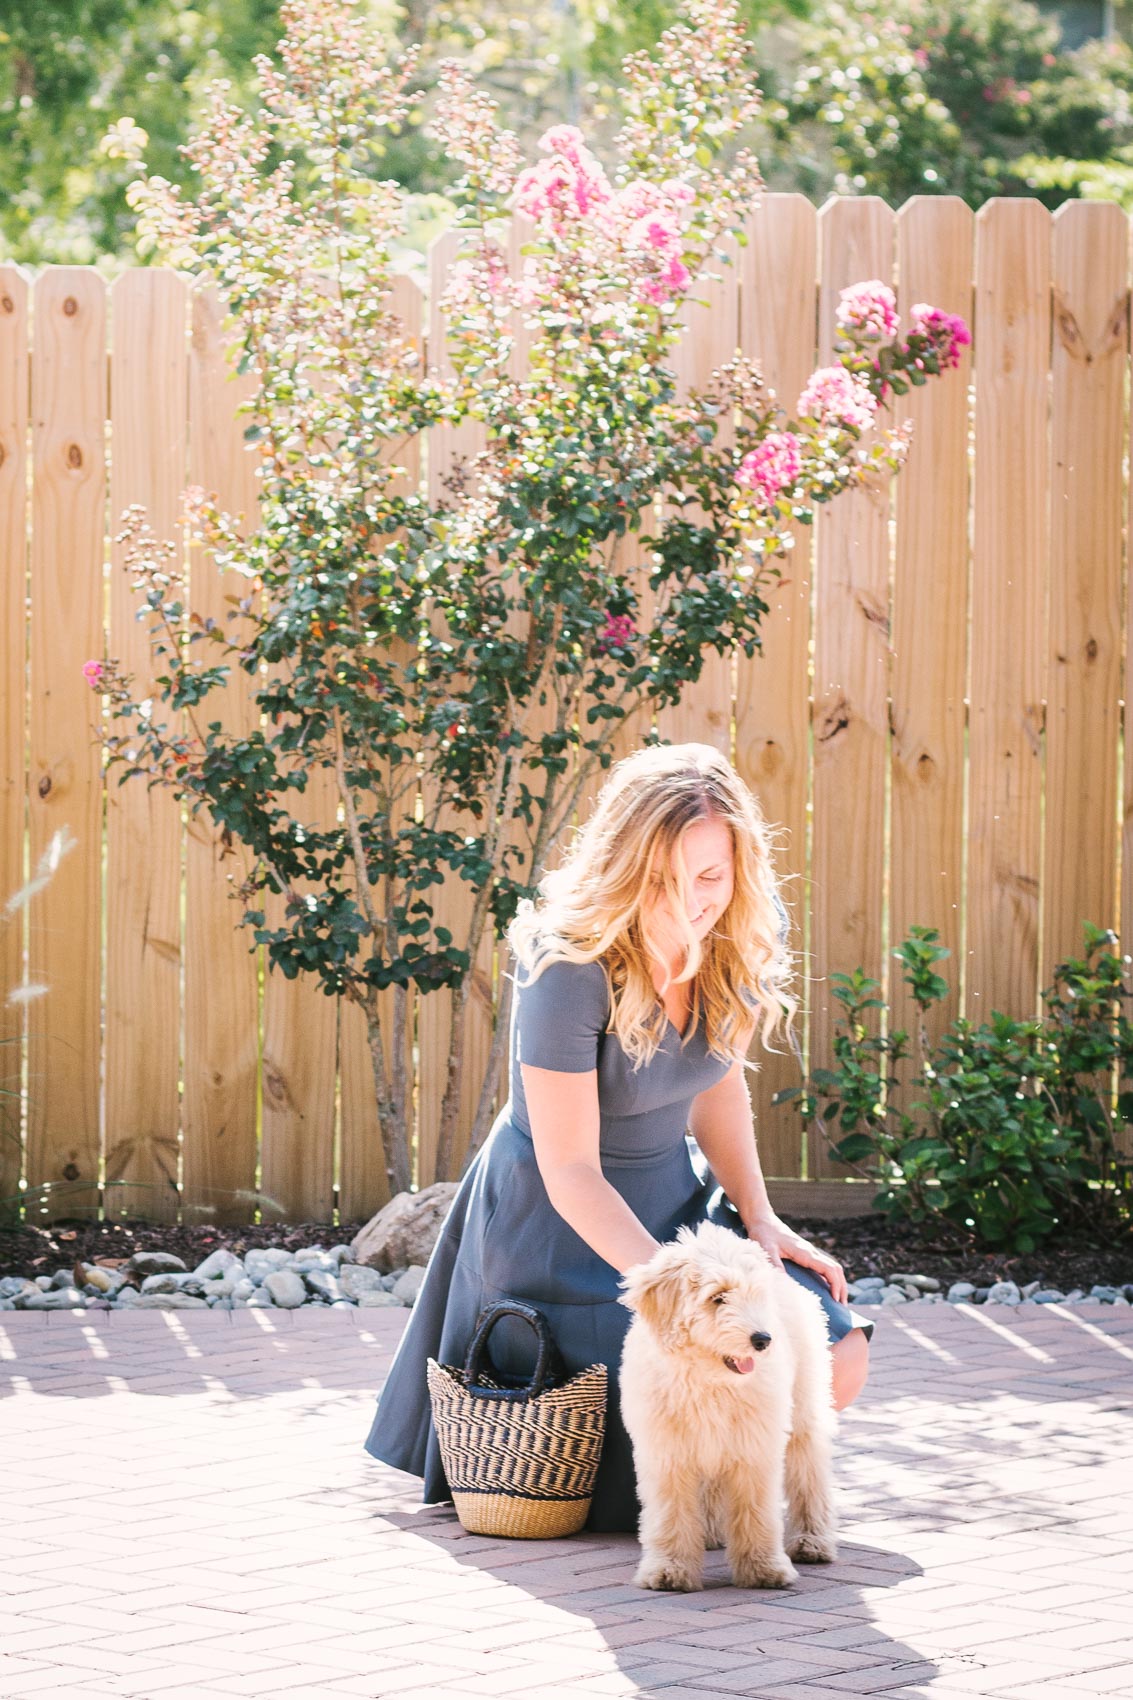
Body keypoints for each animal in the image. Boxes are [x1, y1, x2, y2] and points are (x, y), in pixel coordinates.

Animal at [612, 1224, 833, 1591]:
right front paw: (670, 1568)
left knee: (809, 1471)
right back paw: (710, 1532)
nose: (763, 1340)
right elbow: (670, 1514)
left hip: (803, 1408)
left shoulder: (755, 1446)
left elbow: (756, 1510)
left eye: (755, 1295)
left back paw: (812, 1540)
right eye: (718, 1297)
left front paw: (763, 1567)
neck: (708, 1380)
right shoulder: (666, 1452)